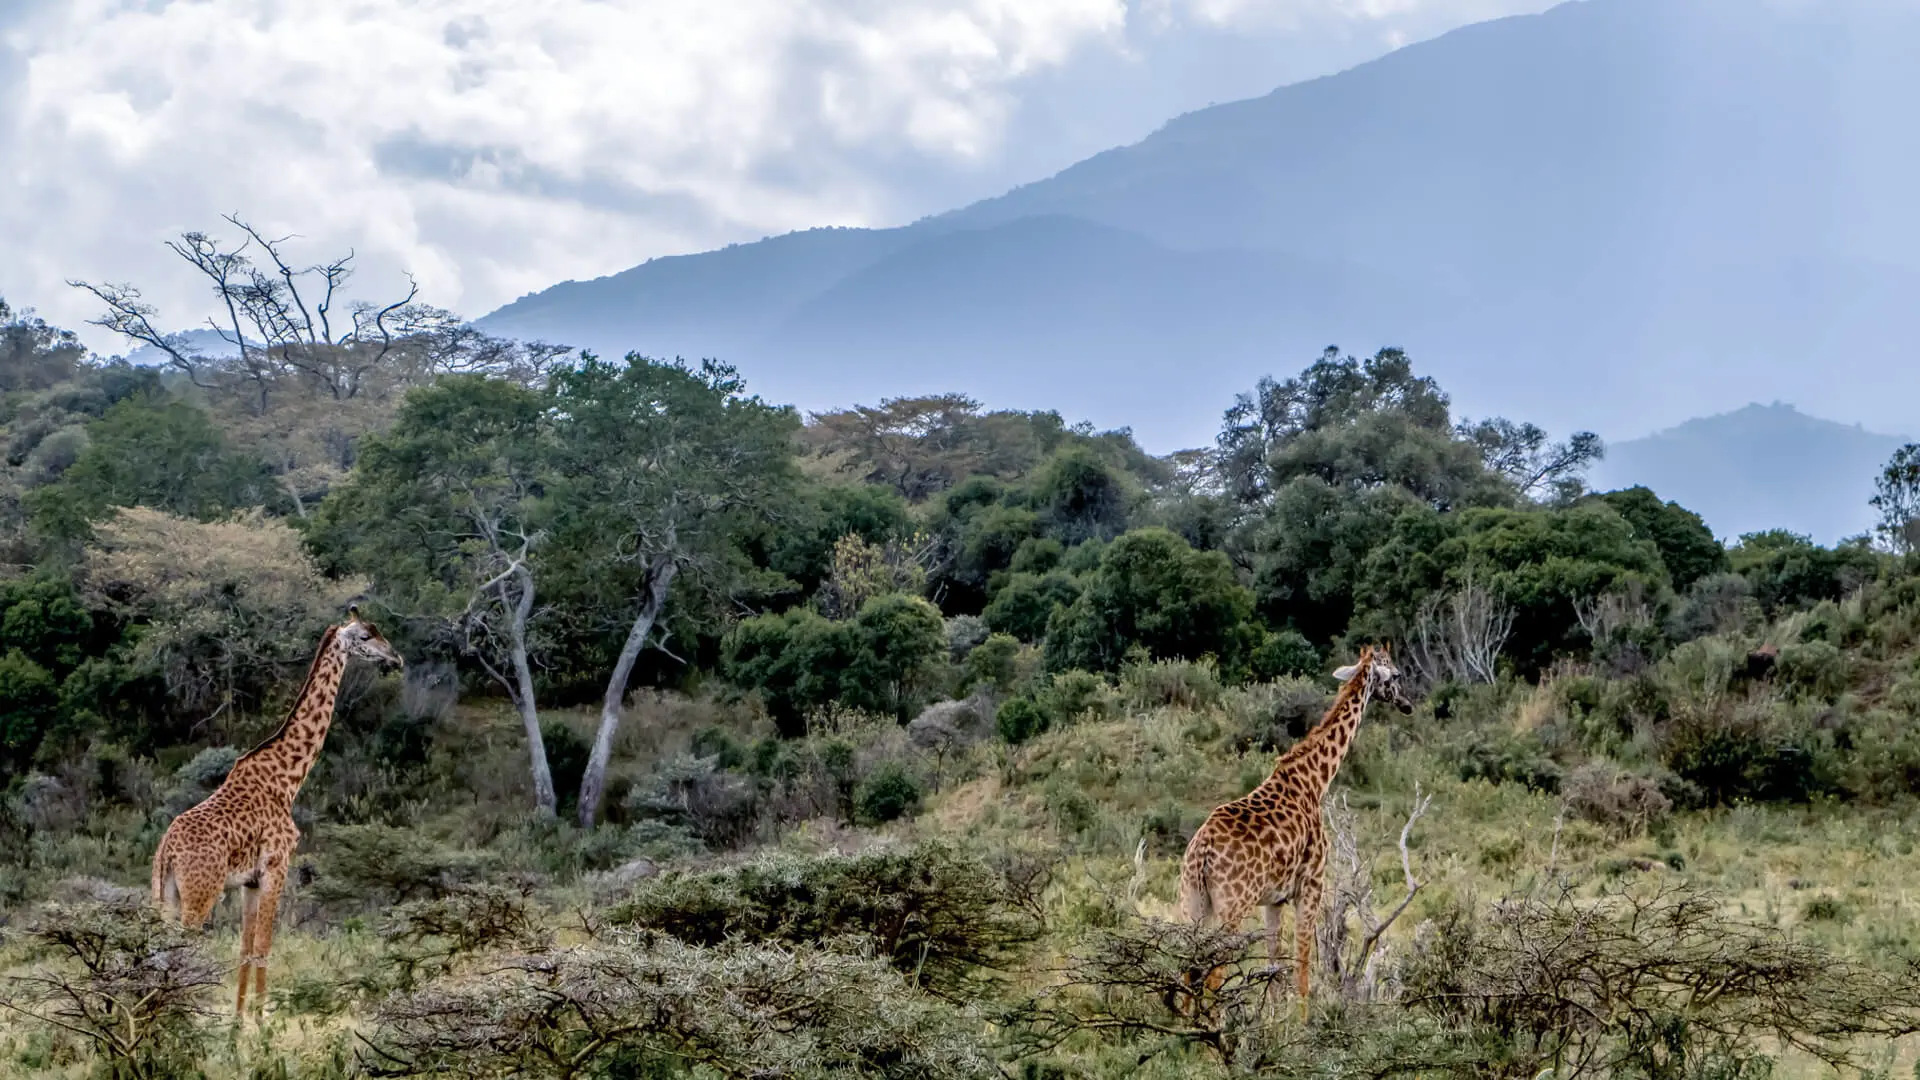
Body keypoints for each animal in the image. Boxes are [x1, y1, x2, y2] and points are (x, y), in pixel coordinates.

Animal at [150, 606, 404, 1017]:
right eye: (367, 636)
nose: (396, 657)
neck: (287, 778)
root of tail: (166, 851)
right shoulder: (277, 866)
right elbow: (264, 948)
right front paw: (261, 1023)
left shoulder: (249, 881)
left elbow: (245, 948)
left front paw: (239, 1023)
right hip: (200, 893)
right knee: (178, 953)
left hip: (164, 893)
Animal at [1174, 643, 1414, 1021]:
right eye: (1397, 674)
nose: (1407, 704)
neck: (1314, 780)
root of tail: (1202, 852)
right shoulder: (1311, 884)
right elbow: (1302, 961)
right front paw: (1302, 1022)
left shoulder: (1273, 899)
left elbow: (1275, 963)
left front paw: (1274, 1023)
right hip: (1232, 905)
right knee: (1214, 972)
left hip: (1193, 901)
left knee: (1190, 968)